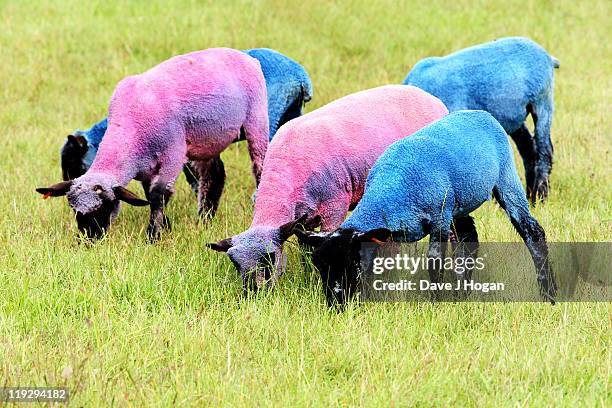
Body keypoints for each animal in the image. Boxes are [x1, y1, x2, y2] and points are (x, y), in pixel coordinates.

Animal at [38, 47, 268, 239]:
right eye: (74, 211)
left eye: (107, 205)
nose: (89, 239)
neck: (129, 126)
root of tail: (246, 57)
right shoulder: (145, 168)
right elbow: (150, 195)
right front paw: (165, 227)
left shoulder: (173, 154)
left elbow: (158, 195)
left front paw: (153, 236)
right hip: (206, 141)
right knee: (213, 176)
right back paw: (204, 220)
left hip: (256, 120)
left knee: (259, 166)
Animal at [208, 85, 448, 290]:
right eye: (236, 264)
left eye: (270, 257)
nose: (254, 294)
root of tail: (430, 97)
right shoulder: (302, 220)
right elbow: (305, 250)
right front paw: (307, 275)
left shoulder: (335, 207)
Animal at [296, 110, 560, 308]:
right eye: (319, 266)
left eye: (352, 263)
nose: (336, 304)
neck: (392, 189)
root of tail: (480, 114)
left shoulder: (438, 218)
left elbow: (434, 262)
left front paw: (434, 302)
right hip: (458, 202)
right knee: (469, 238)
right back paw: (462, 294)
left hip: (505, 179)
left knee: (532, 231)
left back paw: (549, 293)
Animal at [402, 37, 560, 204]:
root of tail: (547, 57)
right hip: (513, 117)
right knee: (528, 149)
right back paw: (528, 194)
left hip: (542, 101)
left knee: (544, 149)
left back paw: (540, 196)